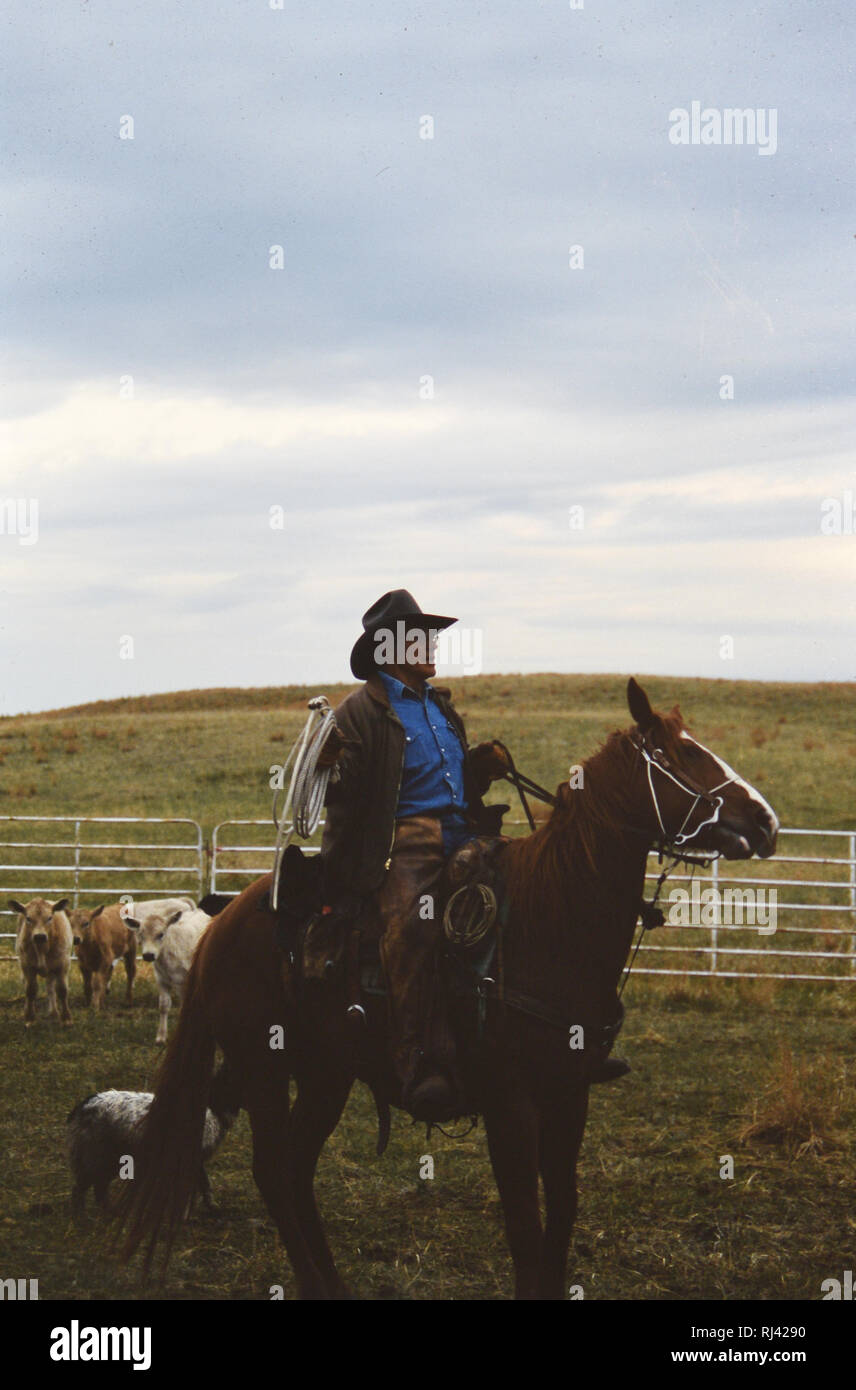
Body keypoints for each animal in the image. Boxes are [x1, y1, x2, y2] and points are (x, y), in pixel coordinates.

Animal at [10, 895, 72, 1028]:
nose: (40, 936)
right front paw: (29, 1018)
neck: (42, 949)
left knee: (50, 988)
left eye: (49, 918)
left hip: (52, 971)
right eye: (28, 918)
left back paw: (54, 1012)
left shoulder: (62, 965)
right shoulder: (27, 966)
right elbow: (30, 990)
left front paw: (66, 1019)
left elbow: (62, 990)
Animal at [123, 900, 211, 1045]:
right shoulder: (161, 979)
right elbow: (164, 1005)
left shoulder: (184, 981)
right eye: (140, 935)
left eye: (161, 934)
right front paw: (161, 1037)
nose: (148, 955)